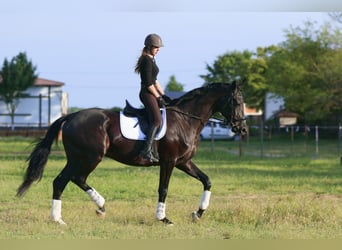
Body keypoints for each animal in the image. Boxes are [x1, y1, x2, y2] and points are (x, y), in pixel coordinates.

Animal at [17, 81, 247, 225]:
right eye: (237, 102)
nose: (243, 130)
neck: (185, 120)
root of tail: (71, 116)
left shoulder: (184, 162)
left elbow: (207, 180)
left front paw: (198, 213)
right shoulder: (169, 162)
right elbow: (163, 189)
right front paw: (163, 218)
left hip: (78, 158)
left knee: (63, 181)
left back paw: (66, 216)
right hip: (89, 157)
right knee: (73, 178)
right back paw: (90, 209)